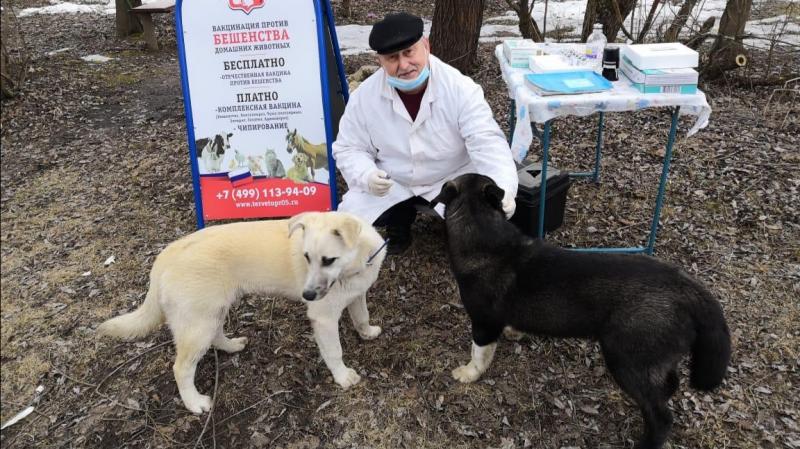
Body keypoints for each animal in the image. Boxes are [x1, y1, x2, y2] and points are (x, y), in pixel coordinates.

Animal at [98, 211, 386, 412]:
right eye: (306, 258)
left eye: (328, 260)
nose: (307, 296)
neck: (357, 264)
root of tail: (165, 255)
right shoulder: (324, 319)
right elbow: (334, 352)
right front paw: (343, 377)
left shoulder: (356, 296)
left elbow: (362, 318)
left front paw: (368, 333)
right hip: (198, 324)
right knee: (181, 368)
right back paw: (194, 403)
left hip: (212, 312)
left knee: (216, 336)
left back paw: (232, 346)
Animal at [432, 172, 732, 448]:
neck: (483, 231)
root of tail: (686, 287)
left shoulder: (483, 323)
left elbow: (479, 354)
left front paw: (468, 373)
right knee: (669, 386)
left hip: (627, 359)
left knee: (661, 416)